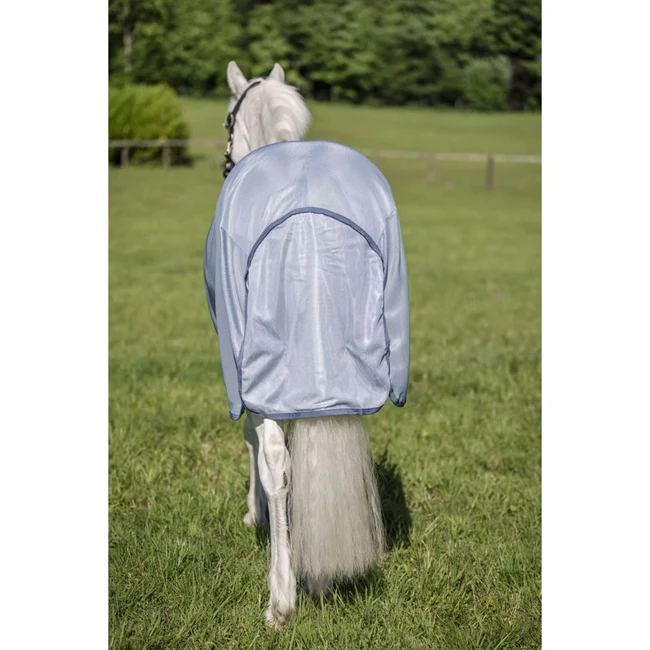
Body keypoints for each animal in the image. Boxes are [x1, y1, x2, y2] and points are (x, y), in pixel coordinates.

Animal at [204, 61, 410, 628]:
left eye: (227, 121)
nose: (224, 161)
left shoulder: (244, 376)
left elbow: (256, 446)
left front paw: (255, 515)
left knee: (276, 461)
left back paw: (282, 597)